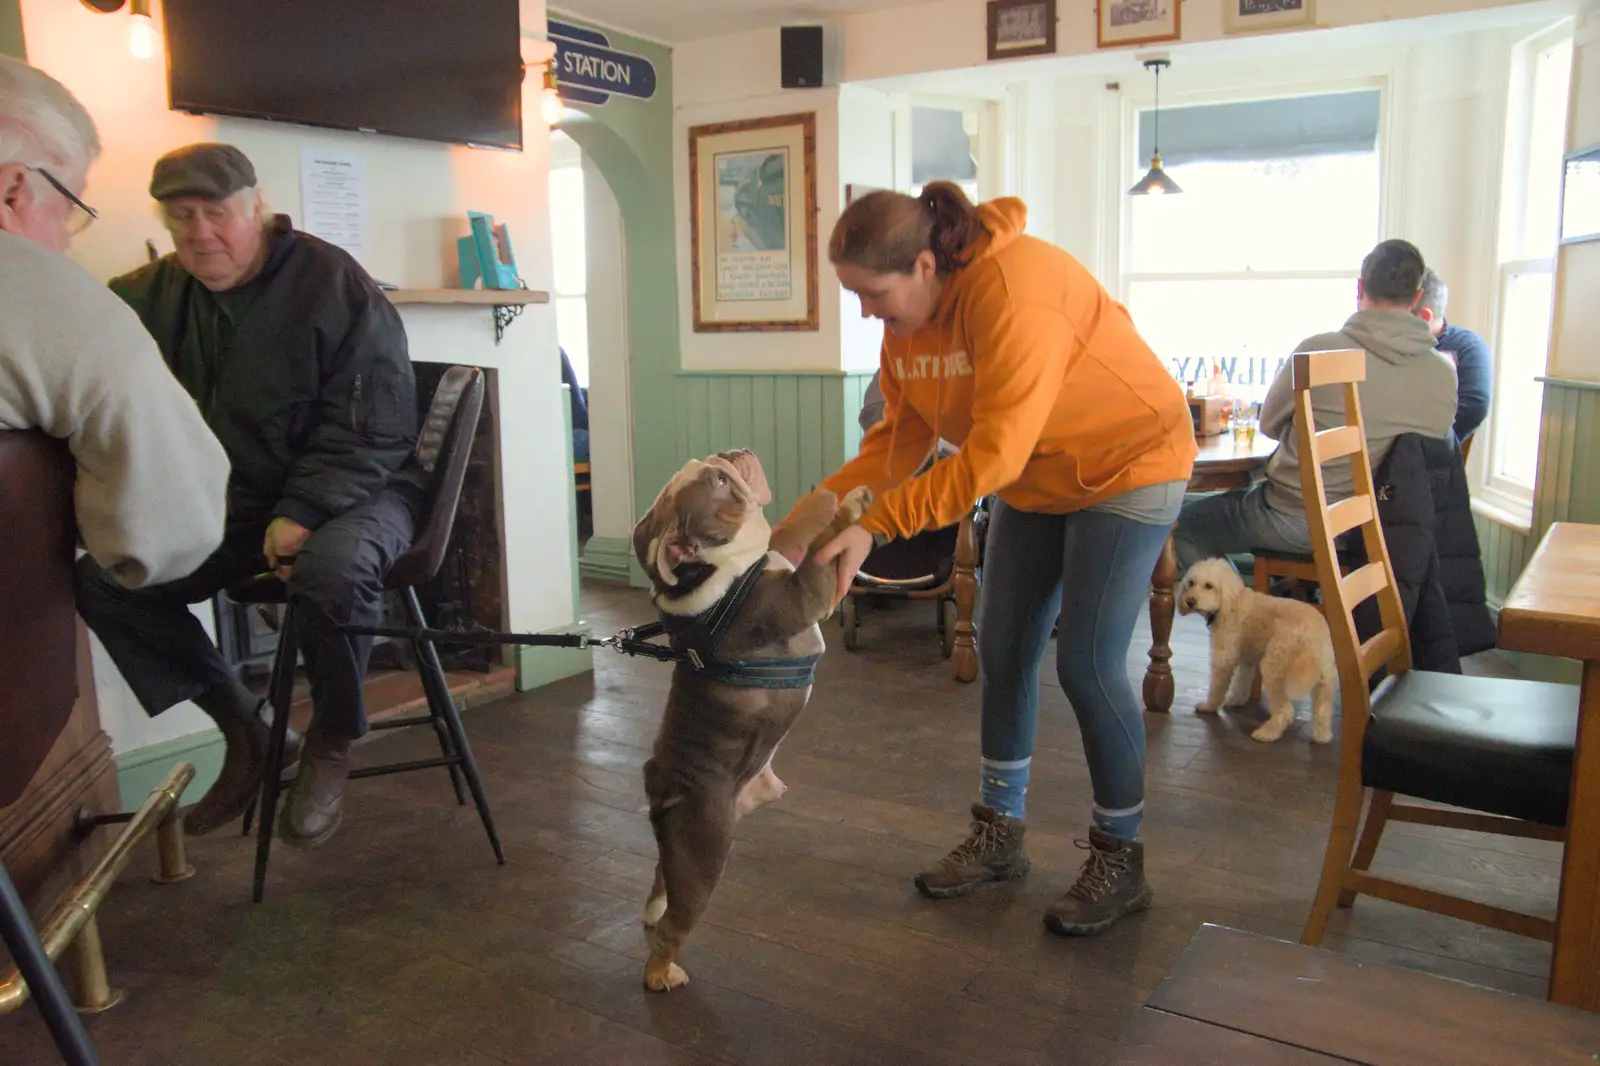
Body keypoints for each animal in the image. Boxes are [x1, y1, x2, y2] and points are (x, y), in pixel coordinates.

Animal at [1177, 557, 1337, 739]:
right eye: (1190, 583)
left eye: (1209, 586)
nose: (1190, 601)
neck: (1231, 601)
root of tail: (1314, 634)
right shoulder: (1246, 660)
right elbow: (1242, 681)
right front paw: (1236, 700)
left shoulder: (1224, 658)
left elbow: (1217, 686)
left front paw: (1209, 706)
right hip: (1324, 678)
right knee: (1323, 709)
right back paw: (1322, 736)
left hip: (1274, 668)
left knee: (1285, 711)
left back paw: (1267, 733)